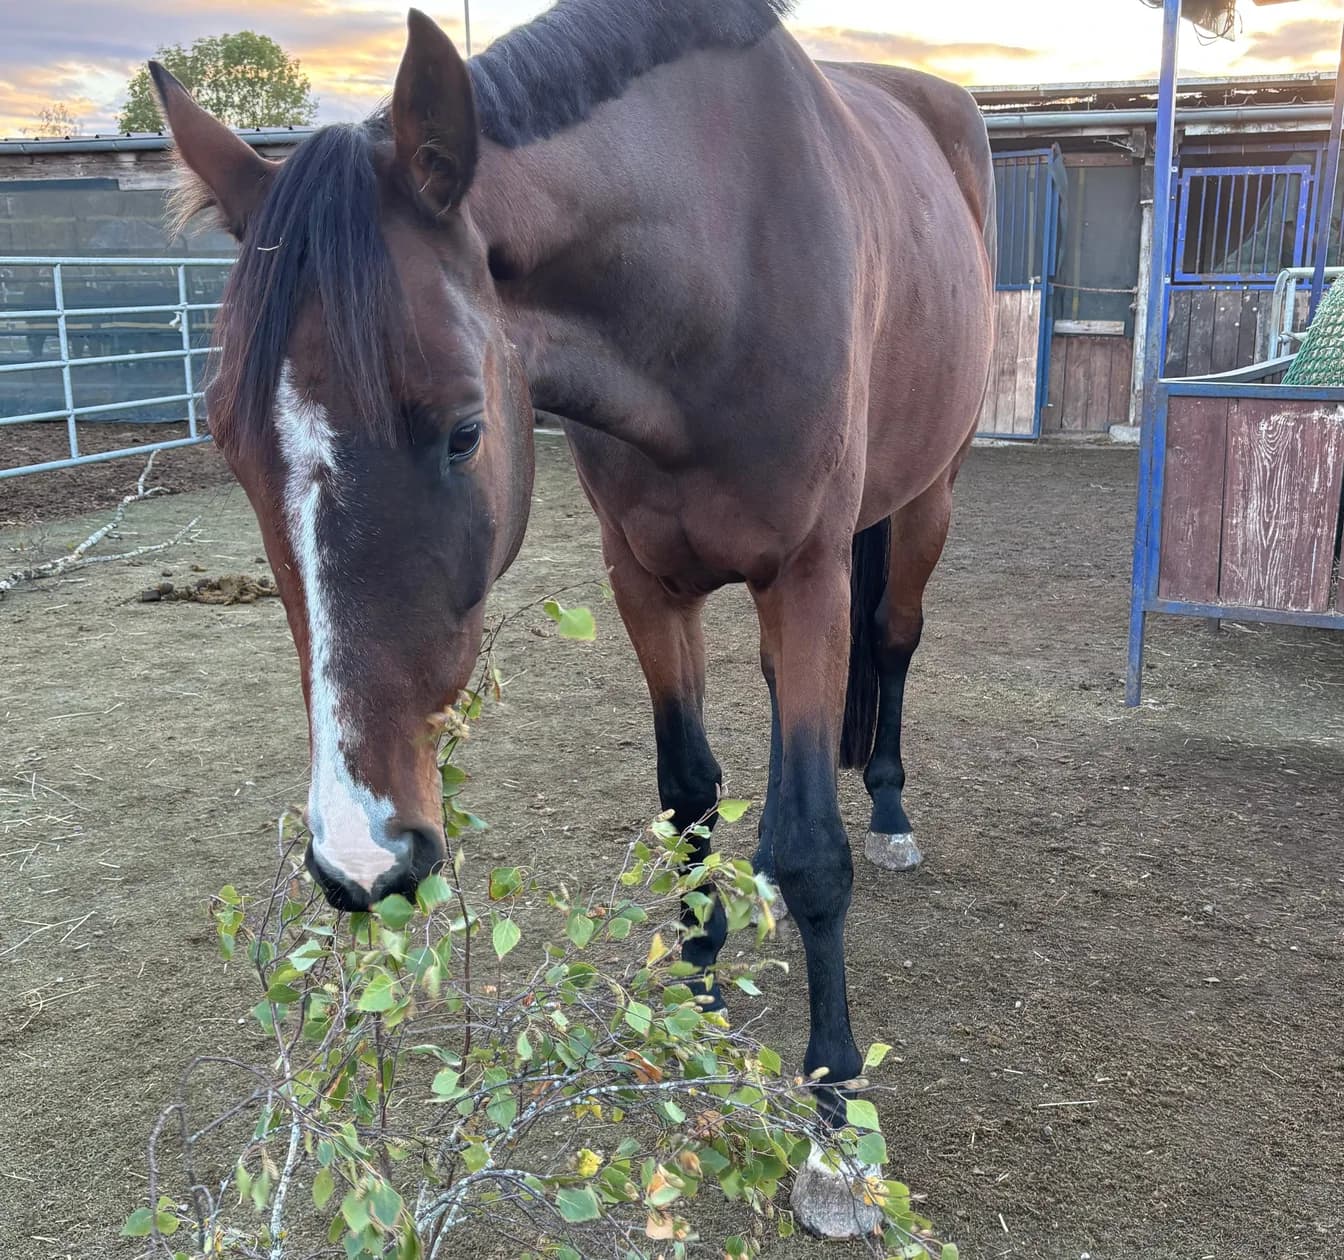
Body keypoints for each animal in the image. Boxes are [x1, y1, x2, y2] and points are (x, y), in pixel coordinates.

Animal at [149, 0, 994, 1234]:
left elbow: (808, 852)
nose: (361, 855)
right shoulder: (644, 582)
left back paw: (887, 804)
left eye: (463, 430)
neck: (714, 266)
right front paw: (696, 1005)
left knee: (892, 644)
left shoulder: (807, 574)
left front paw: (835, 1128)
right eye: (227, 442)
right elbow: (687, 798)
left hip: (928, 494)